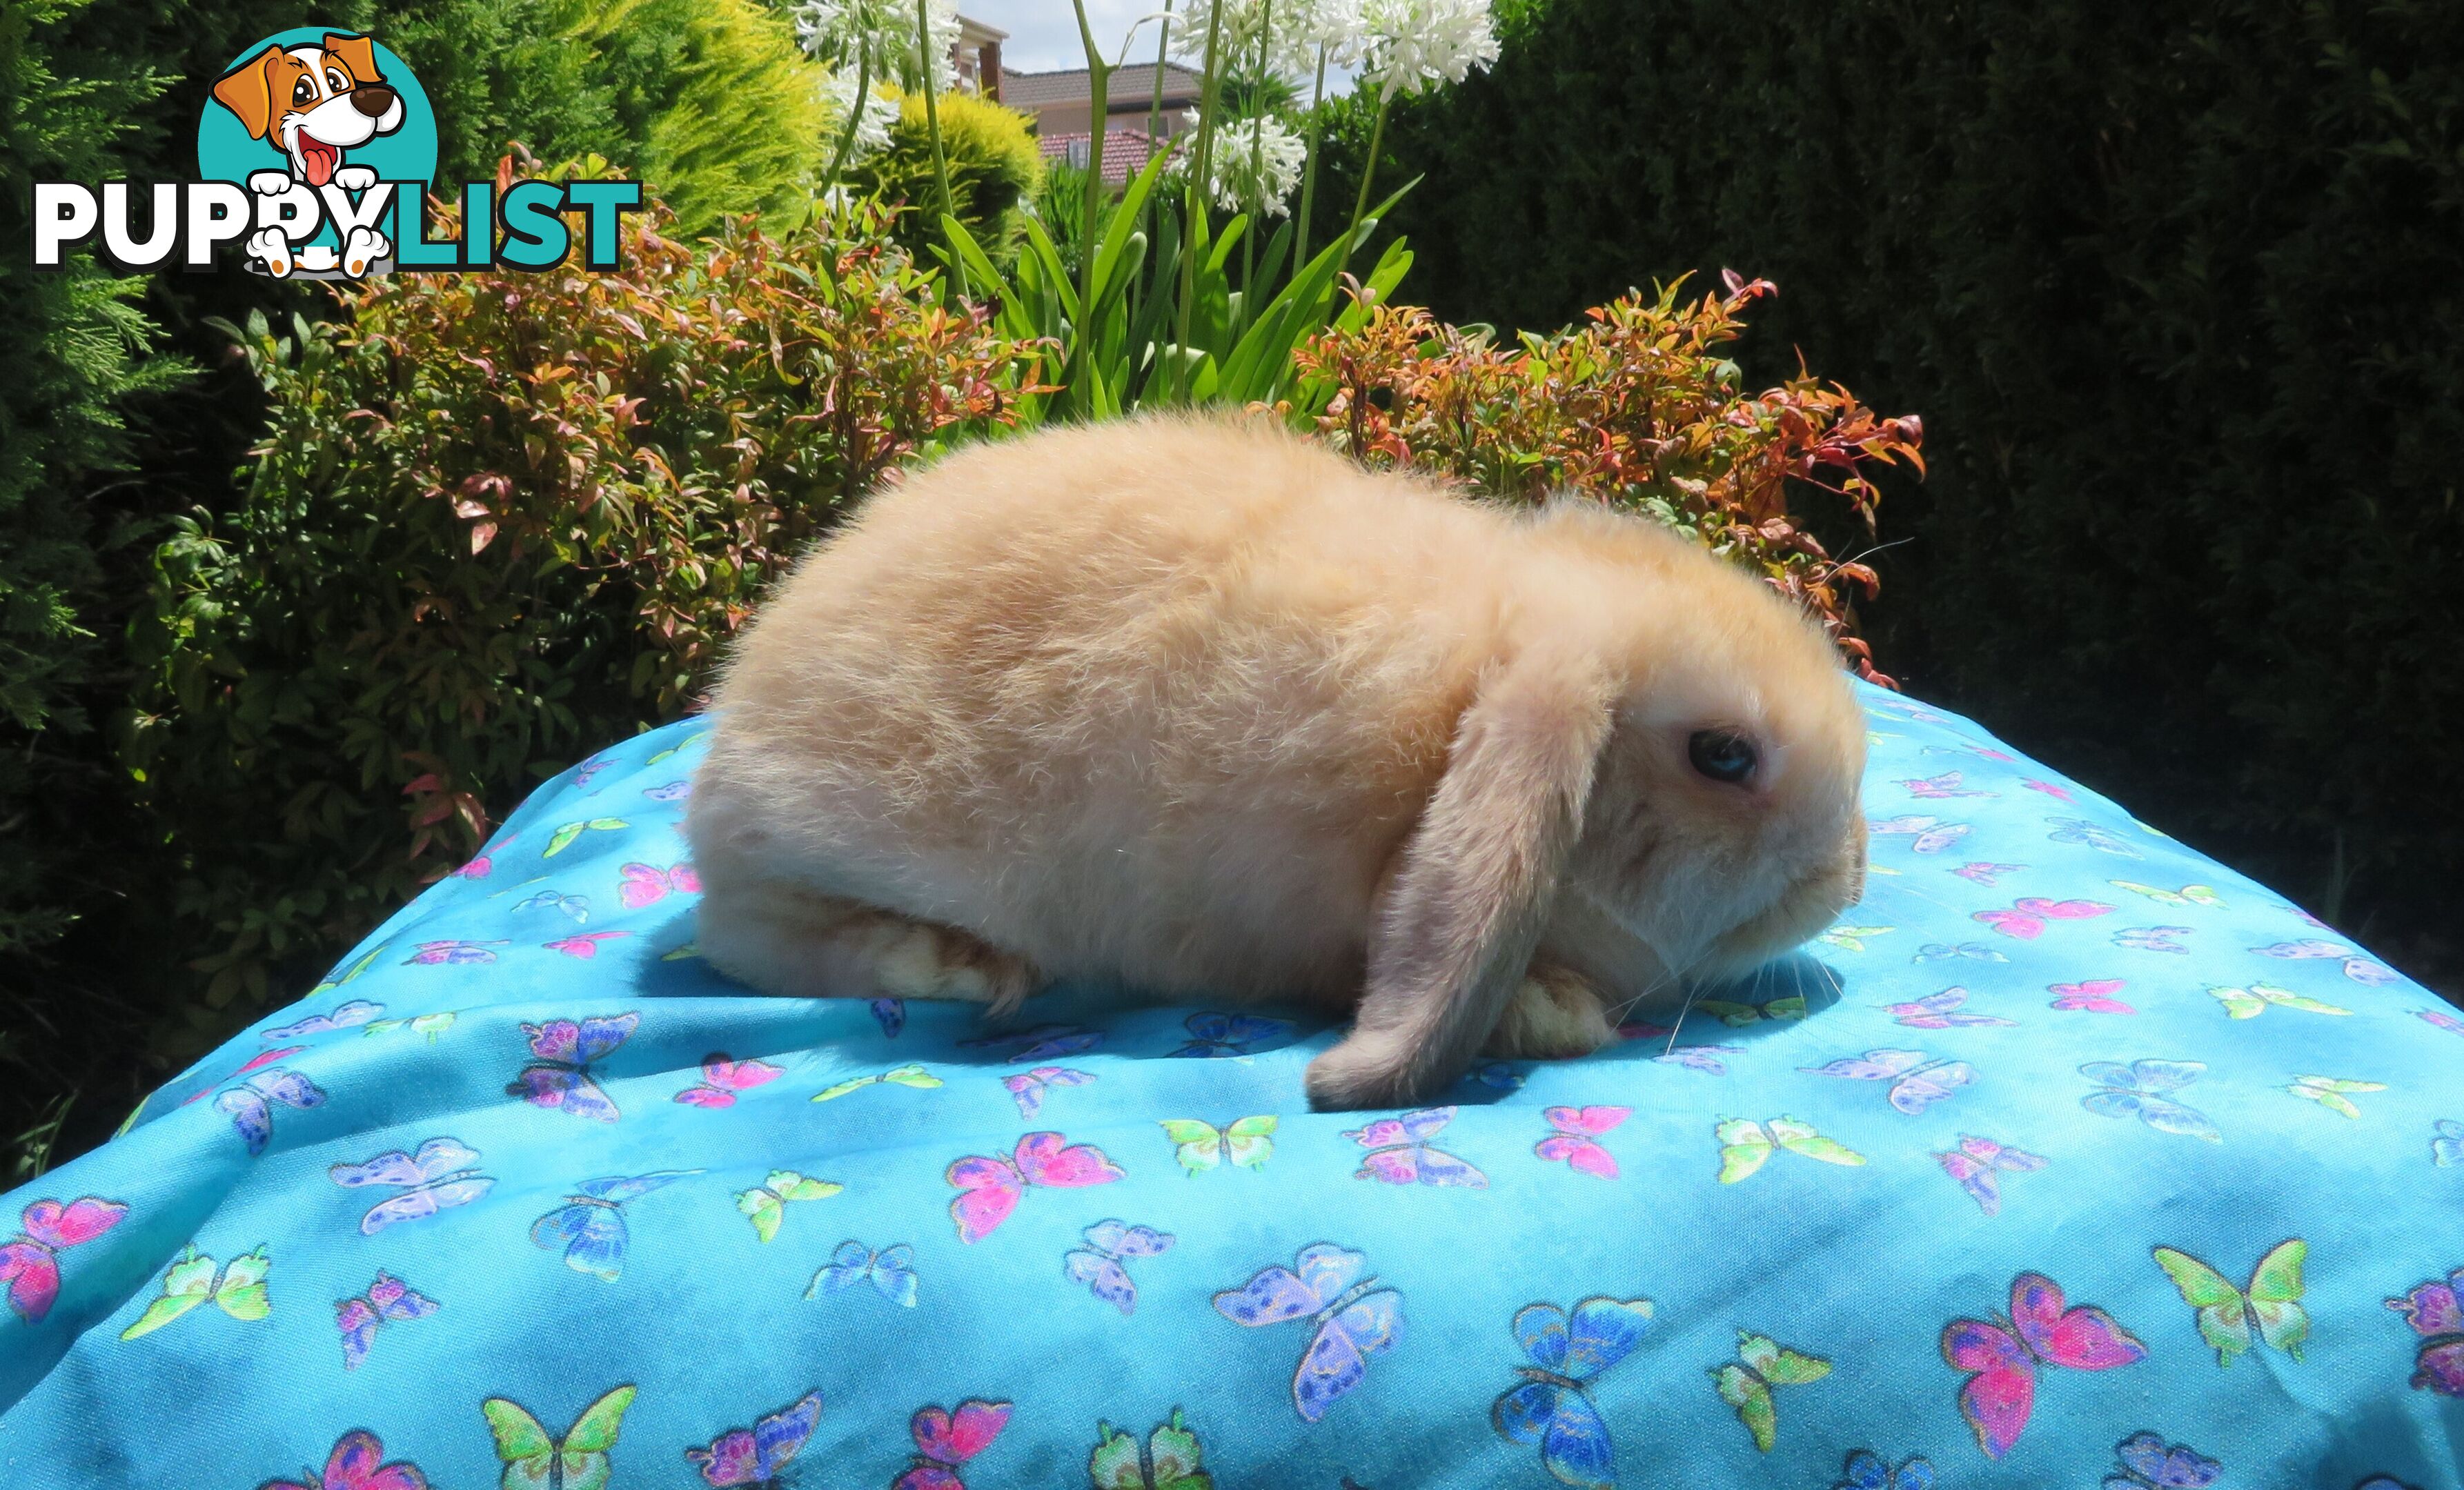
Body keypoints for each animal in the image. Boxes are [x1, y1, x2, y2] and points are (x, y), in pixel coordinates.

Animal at [684, 416, 1853, 1103]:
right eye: (1722, 755)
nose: (1847, 878)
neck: (1456, 706)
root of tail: (731, 718)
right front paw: (1550, 1015)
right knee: (743, 939)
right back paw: (959, 967)